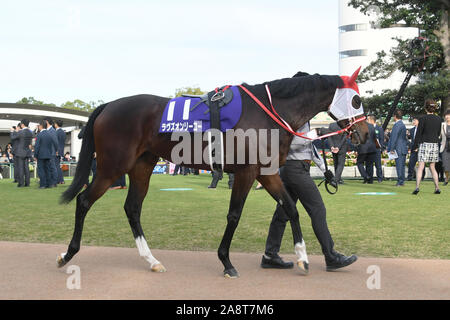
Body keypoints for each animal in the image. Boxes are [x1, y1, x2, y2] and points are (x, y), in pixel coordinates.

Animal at [58, 68, 368, 278]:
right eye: (356, 100)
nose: (364, 133)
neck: (269, 112)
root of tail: (109, 105)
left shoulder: (266, 172)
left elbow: (290, 207)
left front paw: (303, 257)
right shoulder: (246, 172)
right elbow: (234, 215)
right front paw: (226, 262)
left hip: (142, 166)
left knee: (132, 208)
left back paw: (151, 260)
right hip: (112, 167)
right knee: (84, 201)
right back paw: (68, 253)